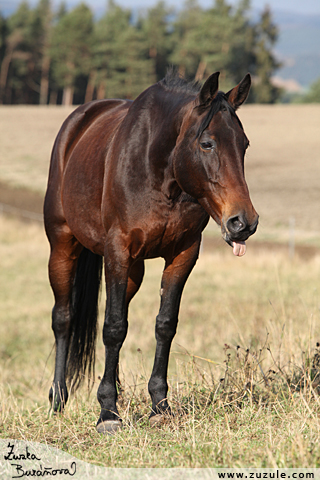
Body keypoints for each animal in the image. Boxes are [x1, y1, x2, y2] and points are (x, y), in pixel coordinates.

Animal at [43, 71, 258, 436]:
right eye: (207, 143)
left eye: (243, 144)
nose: (244, 222)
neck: (160, 174)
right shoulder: (117, 250)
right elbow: (113, 327)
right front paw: (108, 414)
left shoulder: (183, 255)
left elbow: (163, 325)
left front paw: (159, 406)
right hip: (62, 246)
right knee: (63, 319)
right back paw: (58, 399)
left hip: (133, 270)